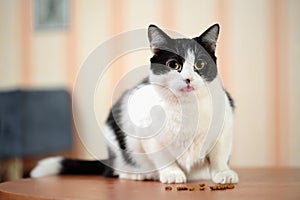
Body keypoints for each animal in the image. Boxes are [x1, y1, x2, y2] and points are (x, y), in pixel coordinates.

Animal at [30, 23, 239, 183]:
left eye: (200, 64)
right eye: (173, 65)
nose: (188, 79)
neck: (186, 107)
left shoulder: (226, 124)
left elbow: (220, 154)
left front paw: (223, 172)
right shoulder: (148, 134)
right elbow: (163, 156)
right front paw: (172, 173)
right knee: (115, 170)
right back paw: (138, 174)